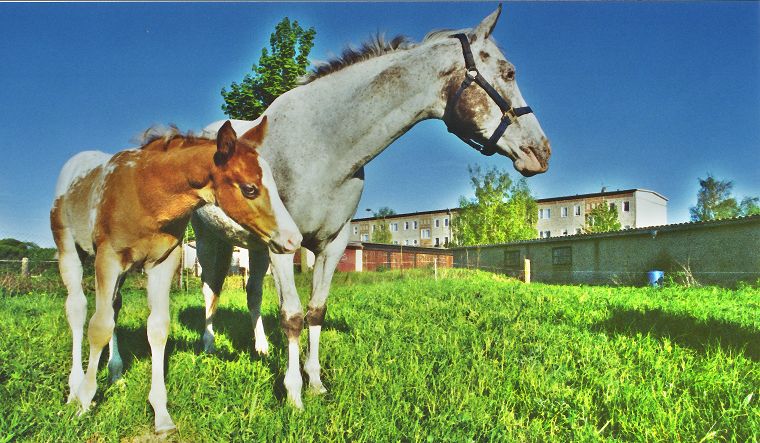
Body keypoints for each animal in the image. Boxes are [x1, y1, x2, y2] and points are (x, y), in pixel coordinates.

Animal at [49, 118, 300, 434]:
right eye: (250, 189)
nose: (294, 239)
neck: (144, 193)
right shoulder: (108, 258)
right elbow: (98, 327)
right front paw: (84, 401)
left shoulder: (163, 262)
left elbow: (157, 329)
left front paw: (161, 414)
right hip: (69, 251)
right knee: (78, 309)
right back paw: (74, 387)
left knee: (114, 307)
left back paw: (115, 374)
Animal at [107, 4, 552, 410]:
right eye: (509, 73)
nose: (541, 152)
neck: (324, 144)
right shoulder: (283, 246)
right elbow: (291, 316)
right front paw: (293, 395)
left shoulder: (331, 243)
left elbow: (315, 312)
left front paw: (316, 383)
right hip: (208, 240)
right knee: (208, 289)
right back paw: (208, 346)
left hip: (252, 247)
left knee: (251, 291)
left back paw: (259, 348)